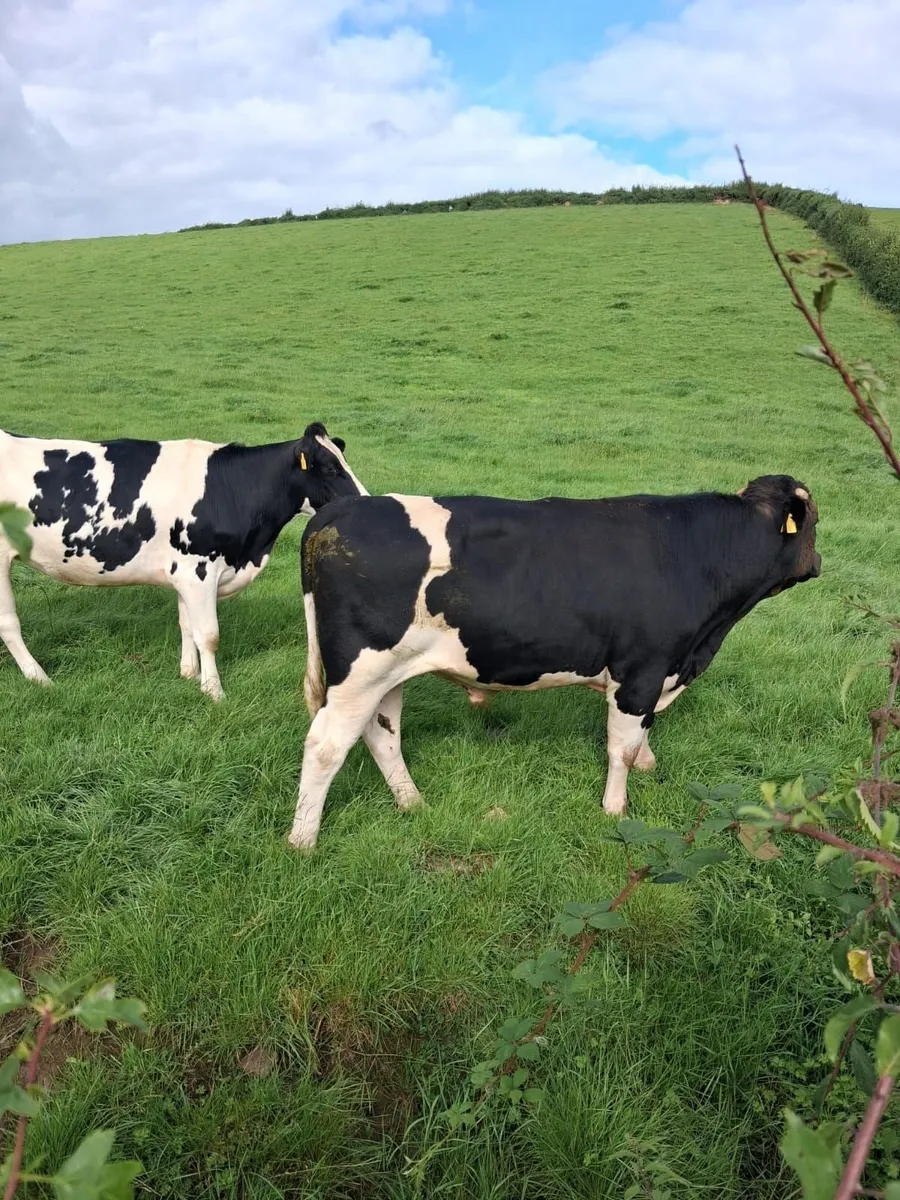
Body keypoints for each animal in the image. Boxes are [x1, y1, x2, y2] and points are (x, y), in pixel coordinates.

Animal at [0, 423, 366, 700]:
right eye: (331, 467)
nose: (364, 501)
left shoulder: (184, 573)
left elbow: (186, 624)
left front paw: (189, 674)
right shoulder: (198, 571)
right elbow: (209, 634)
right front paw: (214, 691)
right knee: (9, 624)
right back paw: (39, 677)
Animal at [288, 474, 820, 849]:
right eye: (814, 520)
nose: (818, 563)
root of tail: (337, 511)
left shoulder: (657, 672)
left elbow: (641, 735)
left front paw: (648, 765)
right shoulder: (642, 670)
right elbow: (621, 747)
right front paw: (615, 809)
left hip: (387, 674)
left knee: (381, 734)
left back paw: (411, 802)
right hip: (360, 672)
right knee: (325, 746)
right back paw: (302, 841)